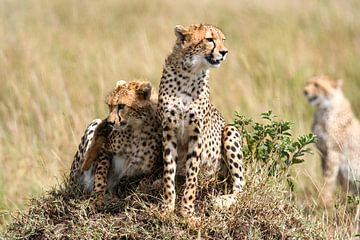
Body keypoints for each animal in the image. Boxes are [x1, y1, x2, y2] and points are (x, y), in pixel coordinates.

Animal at [159, 23, 246, 217]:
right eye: (209, 39)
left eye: (223, 40)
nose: (224, 52)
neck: (189, 73)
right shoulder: (168, 131)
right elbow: (169, 172)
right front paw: (167, 207)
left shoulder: (196, 134)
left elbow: (192, 175)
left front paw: (187, 211)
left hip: (230, 130)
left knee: (241, 185)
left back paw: (222, 201)